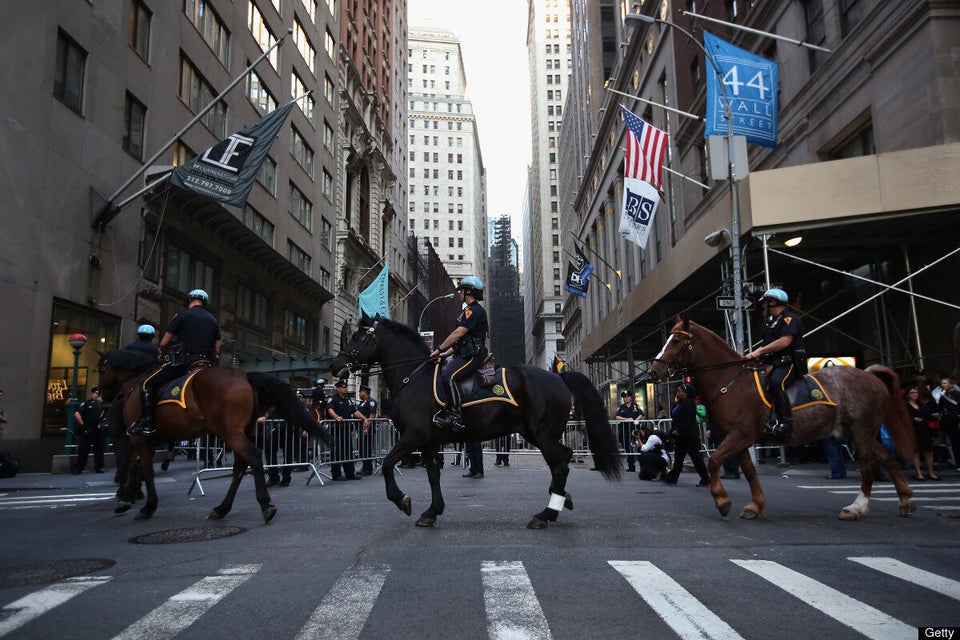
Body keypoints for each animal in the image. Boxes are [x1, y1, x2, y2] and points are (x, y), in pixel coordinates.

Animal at [97, 348, 330, 524]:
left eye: (102, 368)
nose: (102, 395)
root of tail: (245, 375)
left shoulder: (138, 436)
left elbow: (141, 466)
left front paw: (139, 502)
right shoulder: (146, 438)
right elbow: (136, 464)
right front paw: (130, 495)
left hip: (228, 430)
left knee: (253, 456)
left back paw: (264, 504)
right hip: (239, 430)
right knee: (240, 465)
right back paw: (223, 507)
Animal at [328, 316, 624, 528]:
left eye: (356, 336)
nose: (335, 366)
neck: (413, 377)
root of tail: (559, 378)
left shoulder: (413, 436)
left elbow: (389, 463)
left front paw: (402, 500)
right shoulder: (428, 441)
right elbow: (432, 475)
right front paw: (432, 512)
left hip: (542, 435)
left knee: (560, 465)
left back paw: (545, 515)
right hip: (539, 434)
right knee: (565, 457)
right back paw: (561, 498)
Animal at [644, 318, 916, 524]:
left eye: (676, 341)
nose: (653, 371)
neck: (729, 380)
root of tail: (871, 375)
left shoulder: (739, 435)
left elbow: (713, 460)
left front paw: (722, 500)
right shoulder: (739, 438)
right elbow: (750, 471)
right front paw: (755, 505)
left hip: (861, 430)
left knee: (869, 465)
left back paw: (856, 507)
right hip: (856, 431)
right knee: (886, 457)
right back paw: (905, 500)